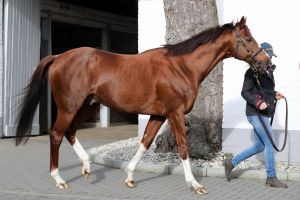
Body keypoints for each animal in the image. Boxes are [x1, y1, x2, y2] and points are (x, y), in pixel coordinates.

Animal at [15, 17, 270, 194]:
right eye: (248, 38)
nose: (267, 63)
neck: (181, 66)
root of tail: (58, 57)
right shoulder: (175, 113)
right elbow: (183, 147)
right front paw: (195, 184)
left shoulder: (159, 115)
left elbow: (145, 143)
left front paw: (129, 177)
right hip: (69, 108)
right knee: (57, 134)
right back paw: (59, 179)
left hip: (87, 106)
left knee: (70, 132)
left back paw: (86, 167)